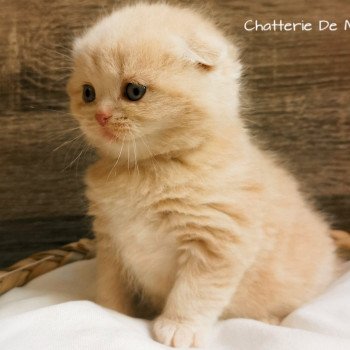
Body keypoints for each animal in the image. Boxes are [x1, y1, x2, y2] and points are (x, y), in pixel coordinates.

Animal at [67, 2, 338, 348]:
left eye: (134, 91)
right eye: (88, 93)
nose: (100, 116)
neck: (147, 167)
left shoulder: (218, 240)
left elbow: (193, 293)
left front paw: (177, 328)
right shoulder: (110, 241)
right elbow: (110, 284)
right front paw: (107, 312)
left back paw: (269, 319)